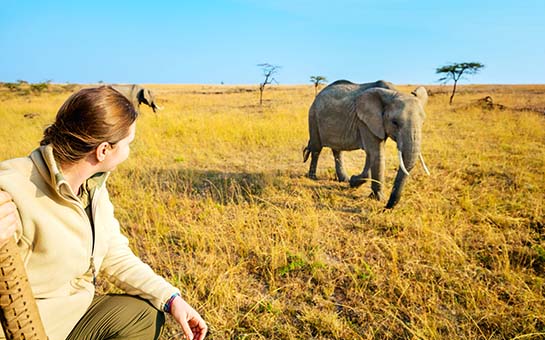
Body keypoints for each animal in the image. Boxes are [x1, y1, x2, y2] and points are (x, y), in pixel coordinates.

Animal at [302, 79, 430, 209]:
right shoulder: (365, 121)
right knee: (317, 148)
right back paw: (313, 177)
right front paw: (379, 198)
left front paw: (353, 181)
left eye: (423, 122)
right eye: (395, 122)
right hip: (313, 116)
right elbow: (376, 153)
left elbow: (372, 155)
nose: (386, 207)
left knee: (337, 150)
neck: (393, 92)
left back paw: (344, 179)